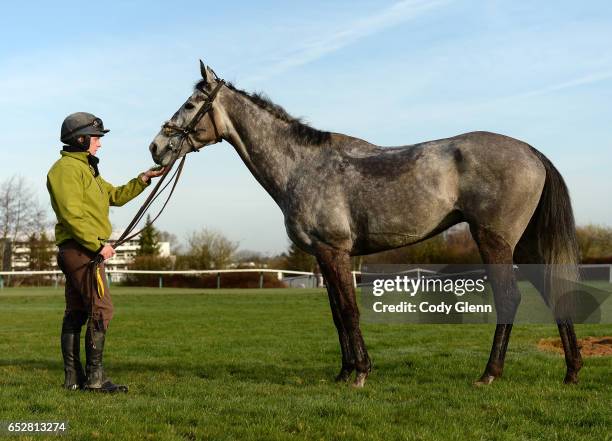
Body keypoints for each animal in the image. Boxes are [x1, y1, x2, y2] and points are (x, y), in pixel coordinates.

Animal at [148, 61, 584, 384]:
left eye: (191, 104)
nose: (156, 147)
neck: (301, 166)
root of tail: (530, 152)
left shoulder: (334, 250)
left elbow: (348, 310)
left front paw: (359, 373)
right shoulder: (324, 256)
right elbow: (337, 313)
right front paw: (345, 372)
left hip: (494, 241)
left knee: (510, 298)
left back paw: (490, 374)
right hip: (525, 245)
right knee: (554, 293)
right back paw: (571, 371)